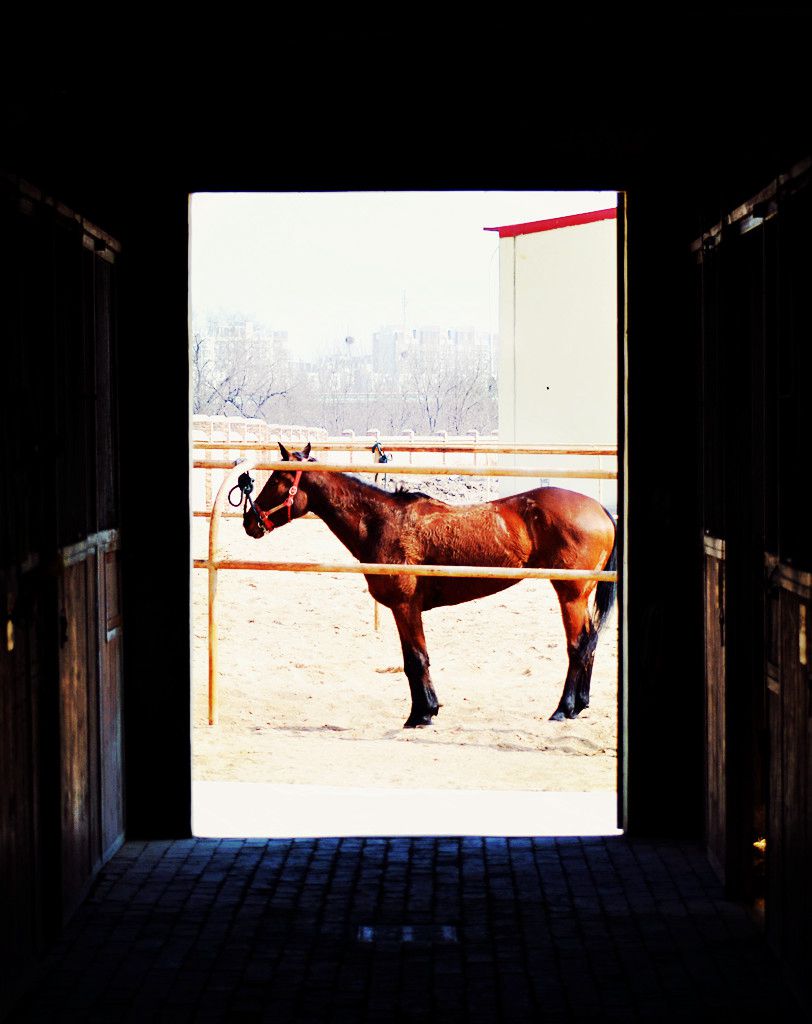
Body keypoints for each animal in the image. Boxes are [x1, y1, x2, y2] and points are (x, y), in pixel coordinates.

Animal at [240, 444, 614, 724]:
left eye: (278, 478)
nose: (250, 521)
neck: (381, 522)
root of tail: (599, 509)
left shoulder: (406, 606)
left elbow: (417, 660)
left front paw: (421, 715)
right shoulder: (403, 609)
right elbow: (411, 659)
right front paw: (424, 710)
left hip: (571, 594)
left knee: (578, 646)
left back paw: (564, 709)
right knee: (590, 641)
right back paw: (580, 705)